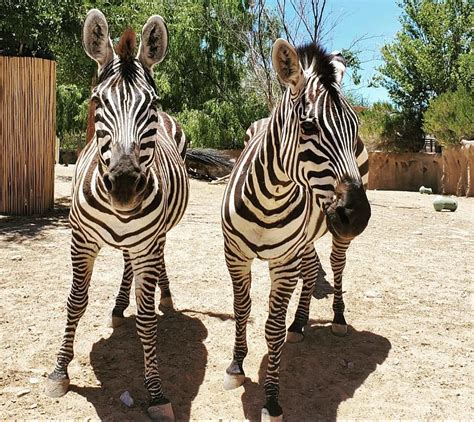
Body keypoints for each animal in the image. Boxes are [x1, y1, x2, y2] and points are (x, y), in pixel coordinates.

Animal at [44, 10, 188, 422]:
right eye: (97, 101)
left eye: (152, 103)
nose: (124, 184)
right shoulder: (80, 240)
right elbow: (76, 301)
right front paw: (59, 372)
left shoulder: (146, 243)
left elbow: (147, 318)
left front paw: (155, 392)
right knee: (126, 266)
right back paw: (119, 305)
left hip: (157, 235)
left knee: (157, 261)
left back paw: (162, 295)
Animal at [220, 38, 372, 418]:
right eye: (309, 128)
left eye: (354, 129)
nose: (358, 216)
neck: (268, 198)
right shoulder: (235, 255)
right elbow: (241, 309)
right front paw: (236, 366)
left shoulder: (283, 263)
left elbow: (273, 328)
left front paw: (272, 400)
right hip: (307, 236)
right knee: (312, 269)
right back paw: (301, 322)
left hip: (329, 236)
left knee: (335, 265)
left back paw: (337, 319)